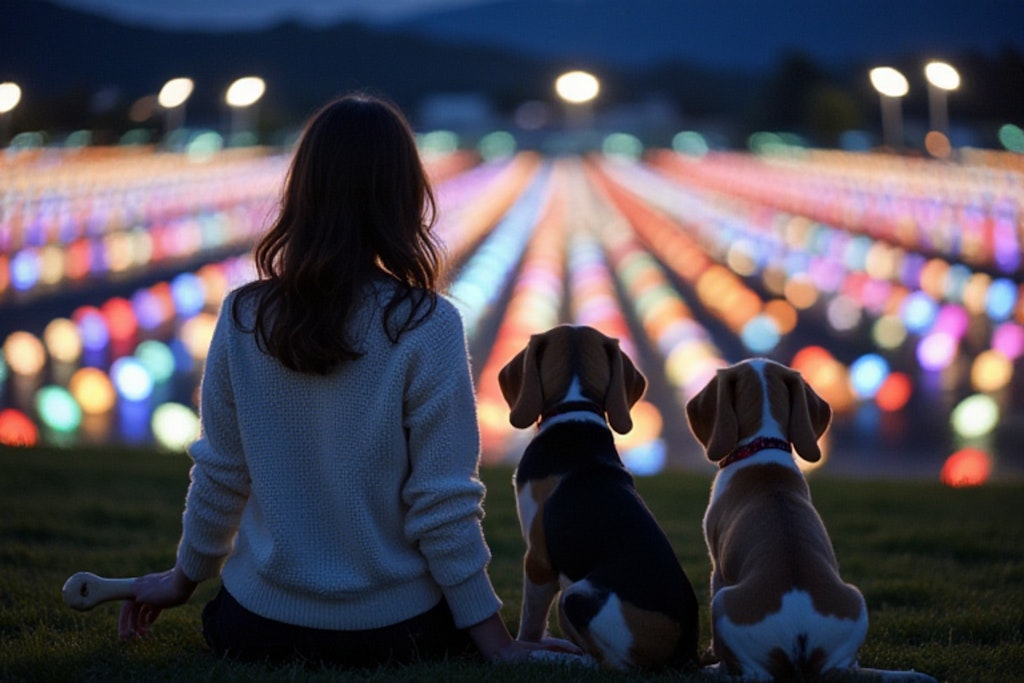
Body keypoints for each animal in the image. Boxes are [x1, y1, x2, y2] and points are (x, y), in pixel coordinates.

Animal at [497, 327, 704, 671]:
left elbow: (531, 622)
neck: (575, 407)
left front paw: (525, 647)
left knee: (605, 664)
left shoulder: (538, 559)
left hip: (575, 597)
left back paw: (548, 655)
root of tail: (681, 656)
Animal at [684, 360, 868, 679]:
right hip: (856, 600)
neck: (762, 444)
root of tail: (800, 636)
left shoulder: (717, 569)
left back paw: (712, 670)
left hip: (723, 603)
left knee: (745, 672)